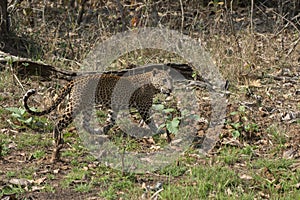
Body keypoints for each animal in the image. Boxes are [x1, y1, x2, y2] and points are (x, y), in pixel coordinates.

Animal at [22, 68, 173, 162]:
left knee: (84, 123)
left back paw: (97, 133)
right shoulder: (143, 107)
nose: (171, 89)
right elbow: (150, 121)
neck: (152, 85)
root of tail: (75, 80)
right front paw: (158, 131)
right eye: (164, 80)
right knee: (59, 122)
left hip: (87, 106)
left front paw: (104, 130)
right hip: (75, 105)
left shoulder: (114, 107)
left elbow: (110, 121)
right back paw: (57, 139)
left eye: (170, 79)